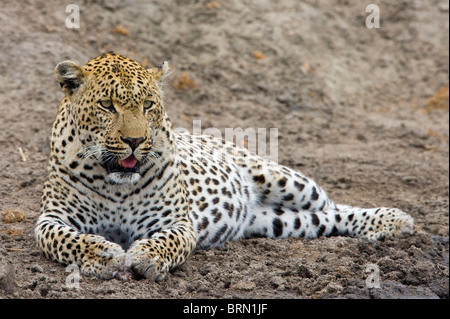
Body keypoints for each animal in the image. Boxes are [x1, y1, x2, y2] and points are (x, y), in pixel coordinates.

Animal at [35, 53, 414, 282]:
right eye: (107, 105)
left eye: (148, 105)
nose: (135, 140)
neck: (115, 183)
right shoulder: (50, 219)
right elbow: (66, 240)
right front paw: (103, 254)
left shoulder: (177, 222)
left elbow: (168, 241)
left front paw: (146, 256)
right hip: (280, 222)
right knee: (325, 220)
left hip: (287, 181)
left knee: (336, 206)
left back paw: (395, 220)